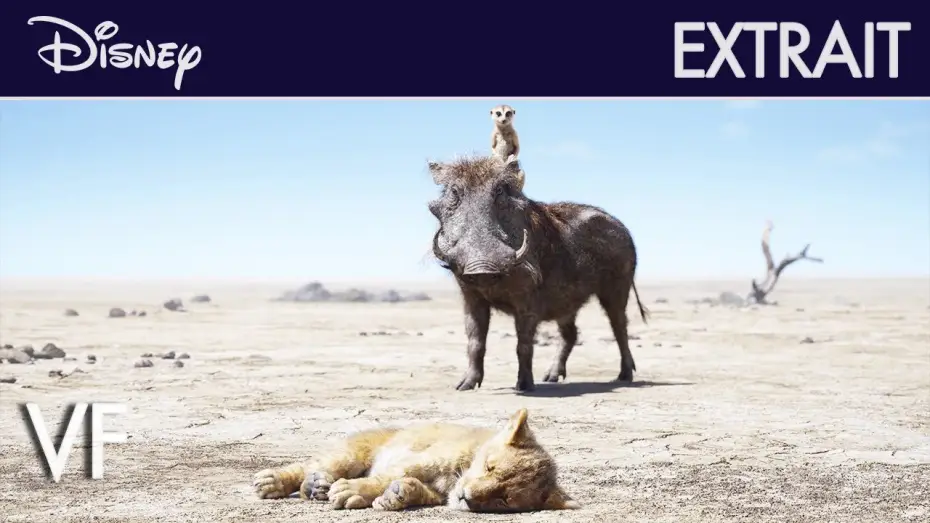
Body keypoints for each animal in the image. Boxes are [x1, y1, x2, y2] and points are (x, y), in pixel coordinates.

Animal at [252, 408, 580, 512]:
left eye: (503, 500)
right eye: (490, 467)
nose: (466, 498)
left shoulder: (436, 492)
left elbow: (413, 490)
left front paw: (396, 496)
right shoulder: (421, 459)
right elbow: (382, 478)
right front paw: (352, 491)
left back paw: (315, 487)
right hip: (351, 453)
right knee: (310, 466)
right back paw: (274, 482)